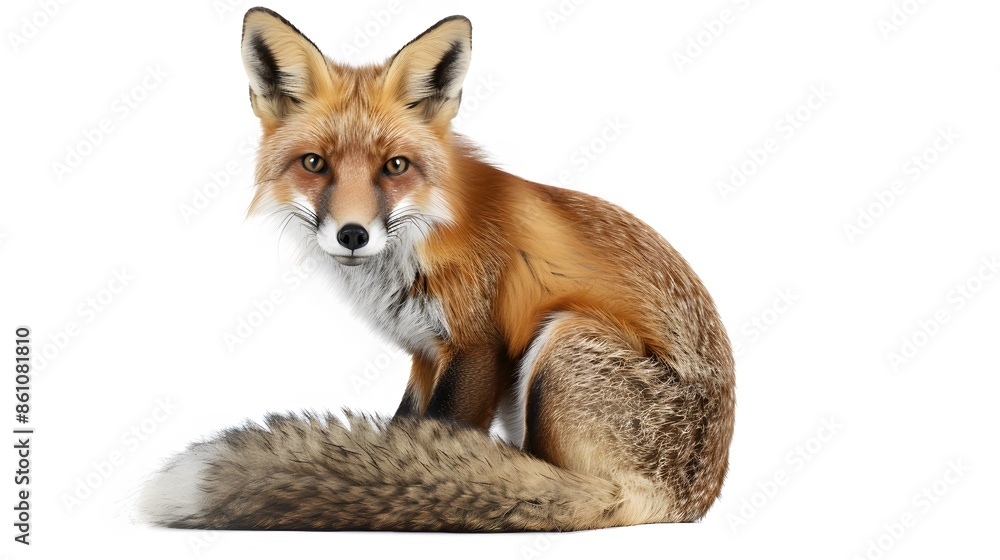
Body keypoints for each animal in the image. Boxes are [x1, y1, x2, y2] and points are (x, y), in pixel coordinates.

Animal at [138, 7, 735, 531]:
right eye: (314, 164)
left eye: (395, 166)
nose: (352, 234)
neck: (421, 237)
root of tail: (686, 502)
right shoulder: (425, 352)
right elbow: (408, 431)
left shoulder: (477, 346)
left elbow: (439, 434)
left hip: (564, 340)